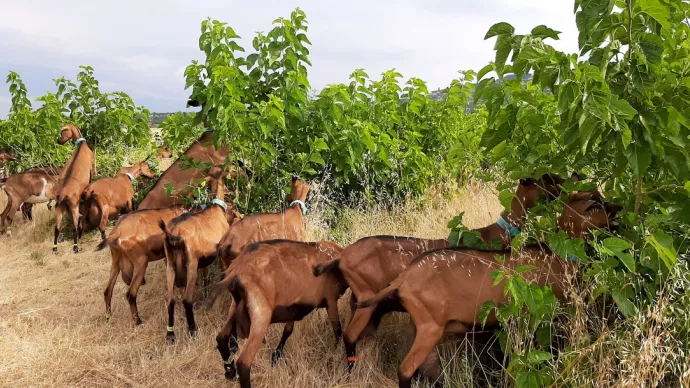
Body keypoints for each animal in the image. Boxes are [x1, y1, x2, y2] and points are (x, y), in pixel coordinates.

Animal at [53, 123, 94, 253]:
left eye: (62, 132)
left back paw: (54, 248)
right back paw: (76, 247)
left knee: (57, 228)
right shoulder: (92, 166)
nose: (59, 141)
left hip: (60, 209)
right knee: (74, 229)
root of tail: (62, 195)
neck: (81, 145)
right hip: (74, 207)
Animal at [159, 165, 239, 342]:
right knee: (187, 299)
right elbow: (222, 273)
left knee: (170, 299)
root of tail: (174, 233)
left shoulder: (205, 258)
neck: (215, 208)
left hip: (170, 265)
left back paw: (170, 334)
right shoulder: (219, 254)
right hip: (190, 264)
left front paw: (207, 297)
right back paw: (192, 330)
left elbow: (206, 278)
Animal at [204, 241, 344, 386]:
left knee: (221, 337)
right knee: (244, 361)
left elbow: (287, 331)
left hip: (236, 306)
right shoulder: (331, 300)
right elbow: (338, 330)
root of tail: (237, 271)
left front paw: (276, 357)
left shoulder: (292, 308)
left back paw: (230, 371)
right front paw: (336, 353)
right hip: (261, 314)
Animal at [310, 174, 564, 372]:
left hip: (359, 301)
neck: (494, 233)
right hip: (366, 295)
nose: (565, 185)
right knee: (350, 334)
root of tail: (341, 257)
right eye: (547, 179)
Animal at [358, 192, 620, 386]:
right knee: (406, 368)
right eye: (594, 204)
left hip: (424, 326)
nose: (617, 208)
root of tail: (404, 278)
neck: (555, 255)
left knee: (427, 366)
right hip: (429, 326)